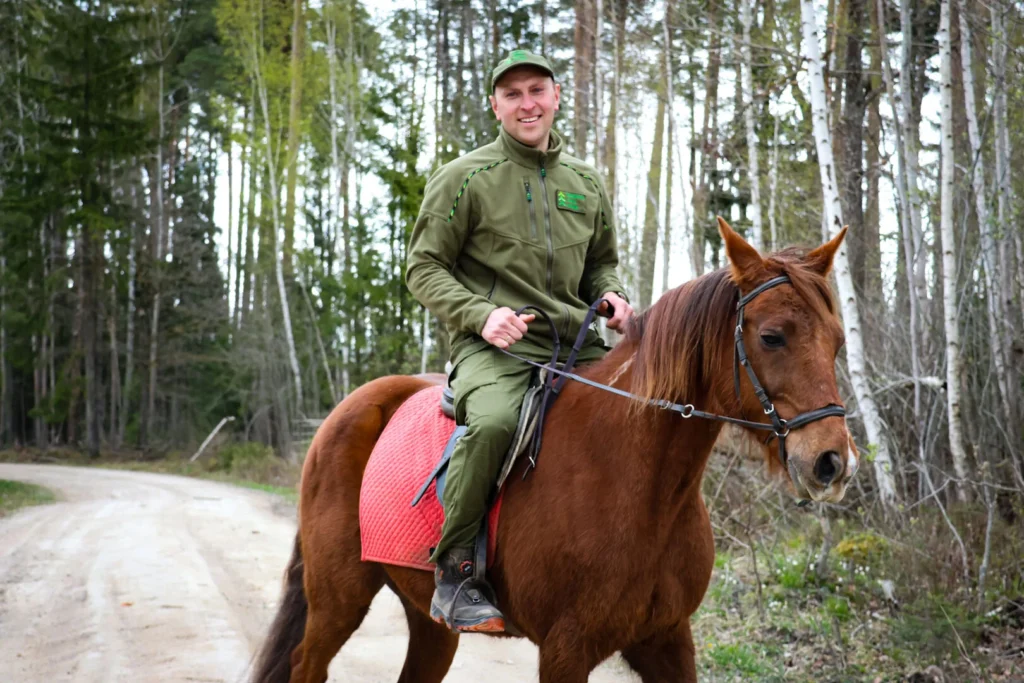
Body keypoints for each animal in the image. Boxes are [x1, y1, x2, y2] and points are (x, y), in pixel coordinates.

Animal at [250, 218, 860, 683]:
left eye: (837, 341)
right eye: (772, 337)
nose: (833, 462)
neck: (641, 487)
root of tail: (351, 407)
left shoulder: (667, 639)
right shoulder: (567, 648)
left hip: (427, 620)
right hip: (339, 599)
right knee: (306, 665)